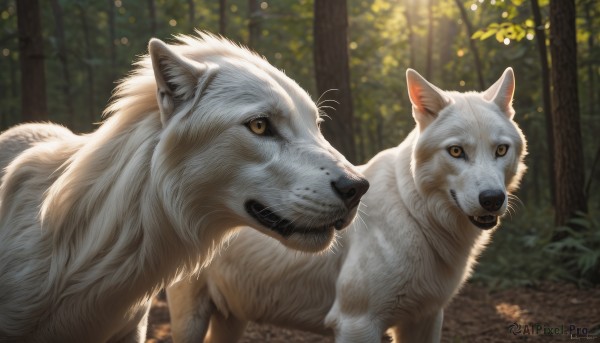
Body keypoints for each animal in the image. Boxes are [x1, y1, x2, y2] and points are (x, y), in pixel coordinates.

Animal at [166, 68, 528, 343]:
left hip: (232, 318)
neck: (414, 216)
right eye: (456, 151)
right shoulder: (357, 323)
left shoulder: (425, 319)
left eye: (501, 150)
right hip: (190, 319)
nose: (492, 199)